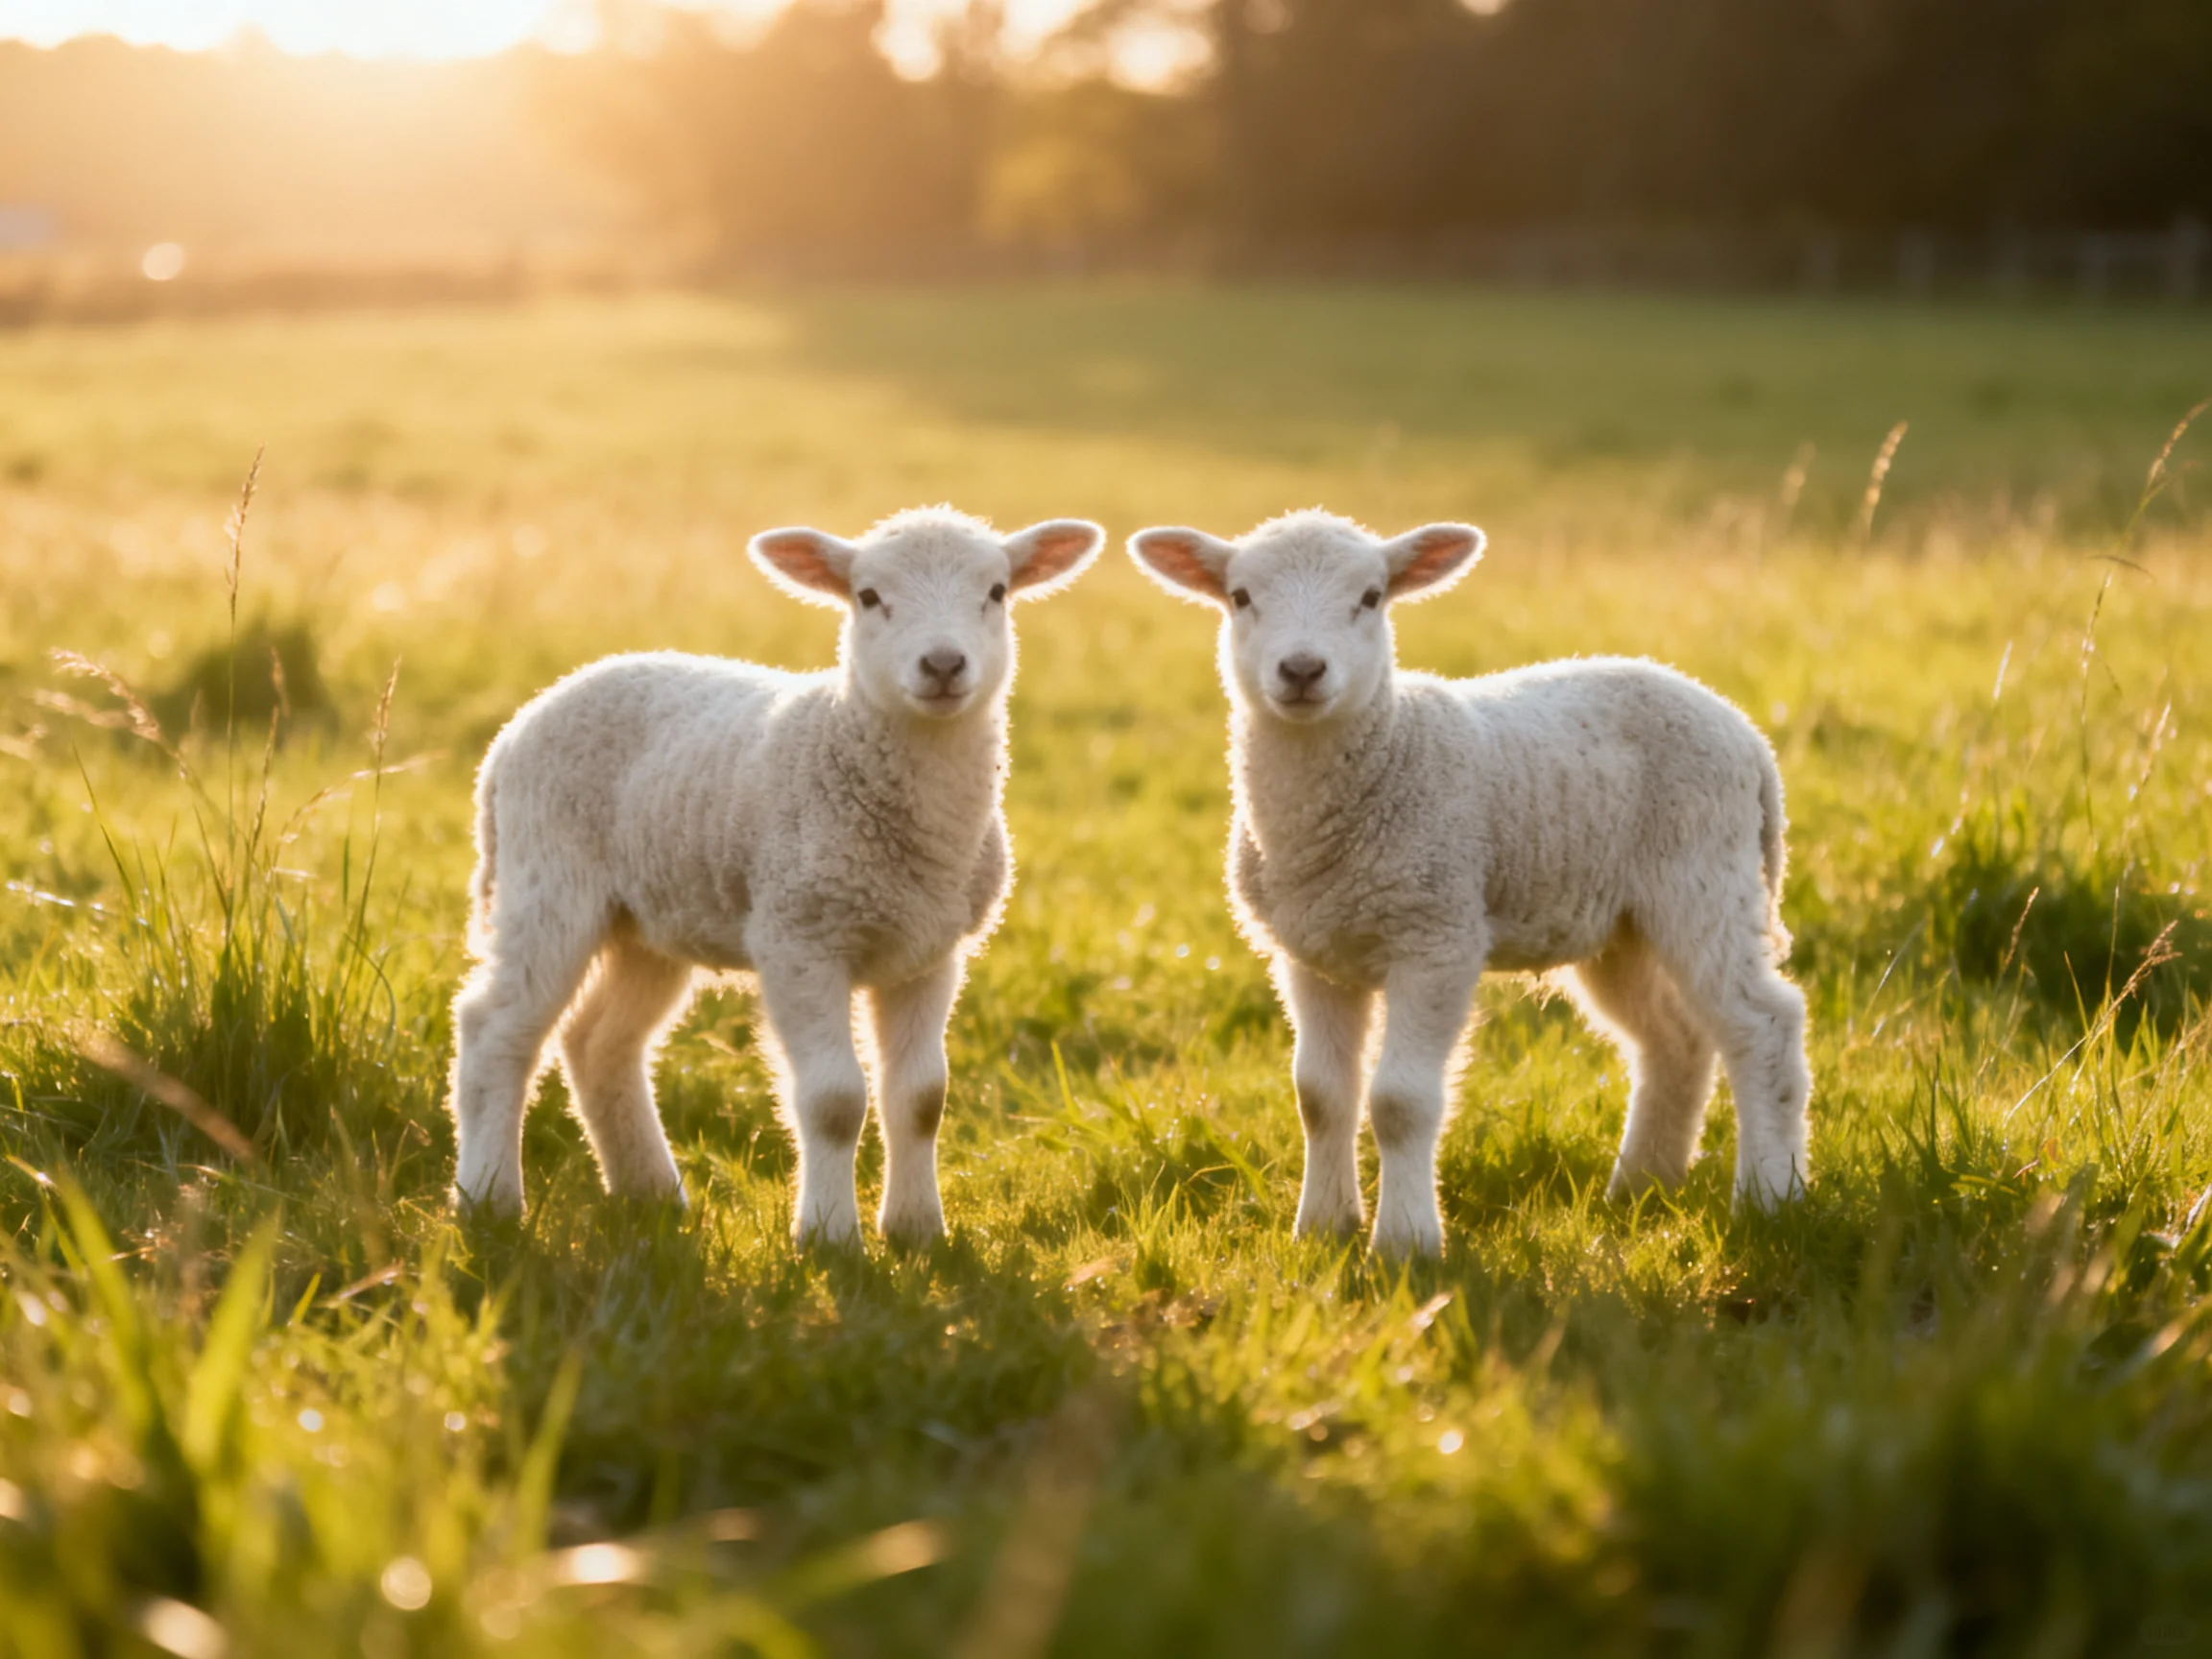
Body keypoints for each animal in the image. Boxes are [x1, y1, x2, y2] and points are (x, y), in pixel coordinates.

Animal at [448, 506, 1104, 1246]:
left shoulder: (930, 953)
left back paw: (651, 1194)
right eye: (868, 596)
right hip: (548, 881)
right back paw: (490, 1201)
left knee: (599, 1043)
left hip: (648, 919)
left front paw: (916, 1232)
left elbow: (921, 1098)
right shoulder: (799, 936)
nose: (942, 664)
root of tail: (518, 726)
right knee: (495, 1030)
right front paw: (828, 1238)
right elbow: (834, 1100)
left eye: (996, 591)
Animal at [1129, 510, 1810, 1257]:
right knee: (1673, 1042)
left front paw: (1406, 1244)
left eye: (1371, 597)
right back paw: (1639, 1189)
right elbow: (1319, 1096)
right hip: (1619, 926)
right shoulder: (1312, 955)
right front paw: (1323, 1229)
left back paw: (1770, 1198)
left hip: (1704, 877)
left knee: (1762, 1025)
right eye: (1241, 596)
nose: (1302, 670)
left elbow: (1399, 1101)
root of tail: (1744, 733)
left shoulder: (1437, 935)